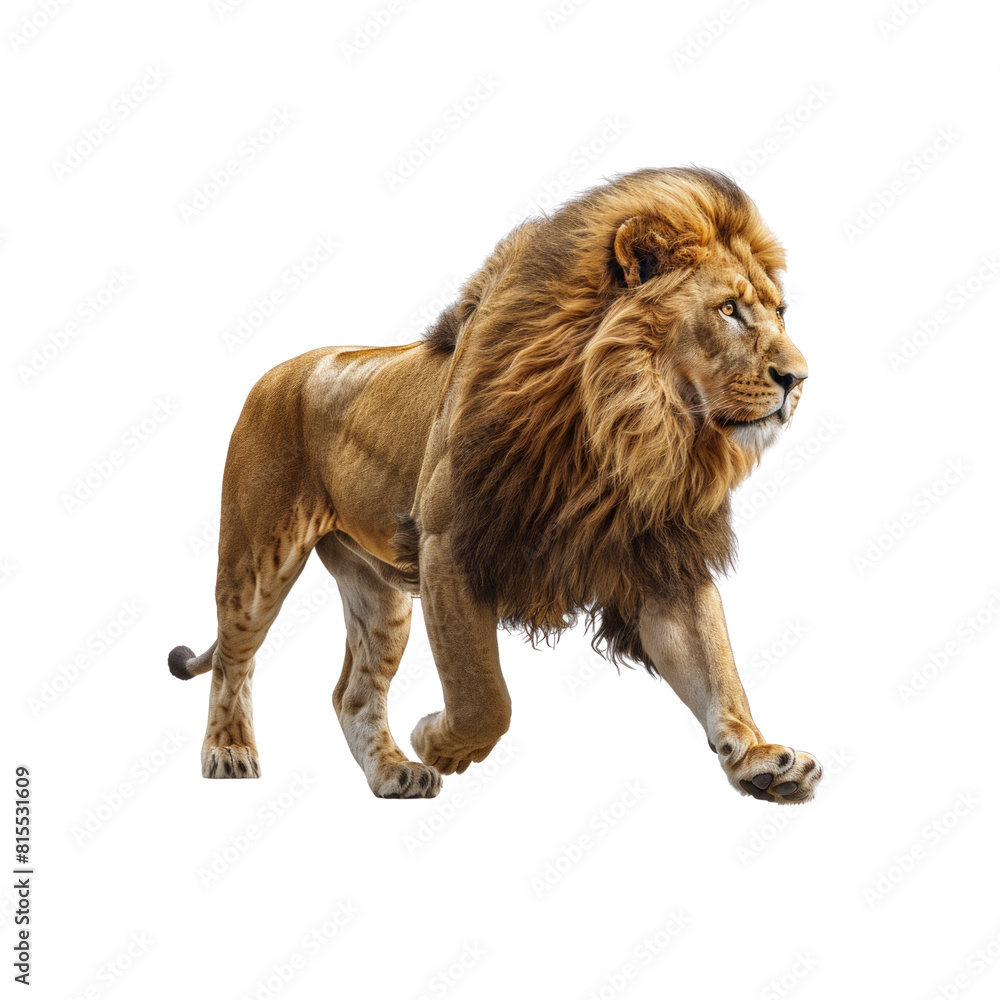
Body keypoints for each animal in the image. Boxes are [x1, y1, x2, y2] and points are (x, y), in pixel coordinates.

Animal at [168, 166, 822, 803]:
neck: (627, 431)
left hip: (379, 593)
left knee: (351, 692)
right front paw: (439, 742)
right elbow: (484, 693)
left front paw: (760, 760)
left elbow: (717, 668)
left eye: (780, 312)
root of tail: (279, 371)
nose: (798, 378)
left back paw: (392, 773)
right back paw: (229, 751)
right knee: (233, 660)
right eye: (728, 310)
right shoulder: (449, 542)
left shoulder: (663, 556)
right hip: (257, 557)